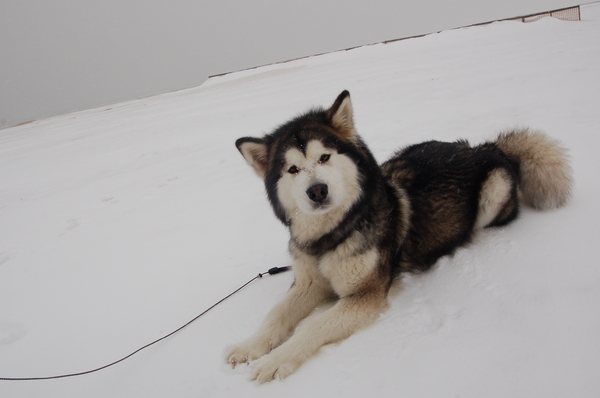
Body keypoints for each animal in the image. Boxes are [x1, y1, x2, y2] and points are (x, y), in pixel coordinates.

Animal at [225, 90, 572, 382]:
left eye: (324, 157)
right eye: (293, 169)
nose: (317, 191)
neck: (332, 234)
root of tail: (484, 149)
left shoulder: (366, 294)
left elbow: (313, 325)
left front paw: (275, 360)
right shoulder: (309, 283)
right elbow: (276, 314)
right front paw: (249, 346)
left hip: (494, 192)